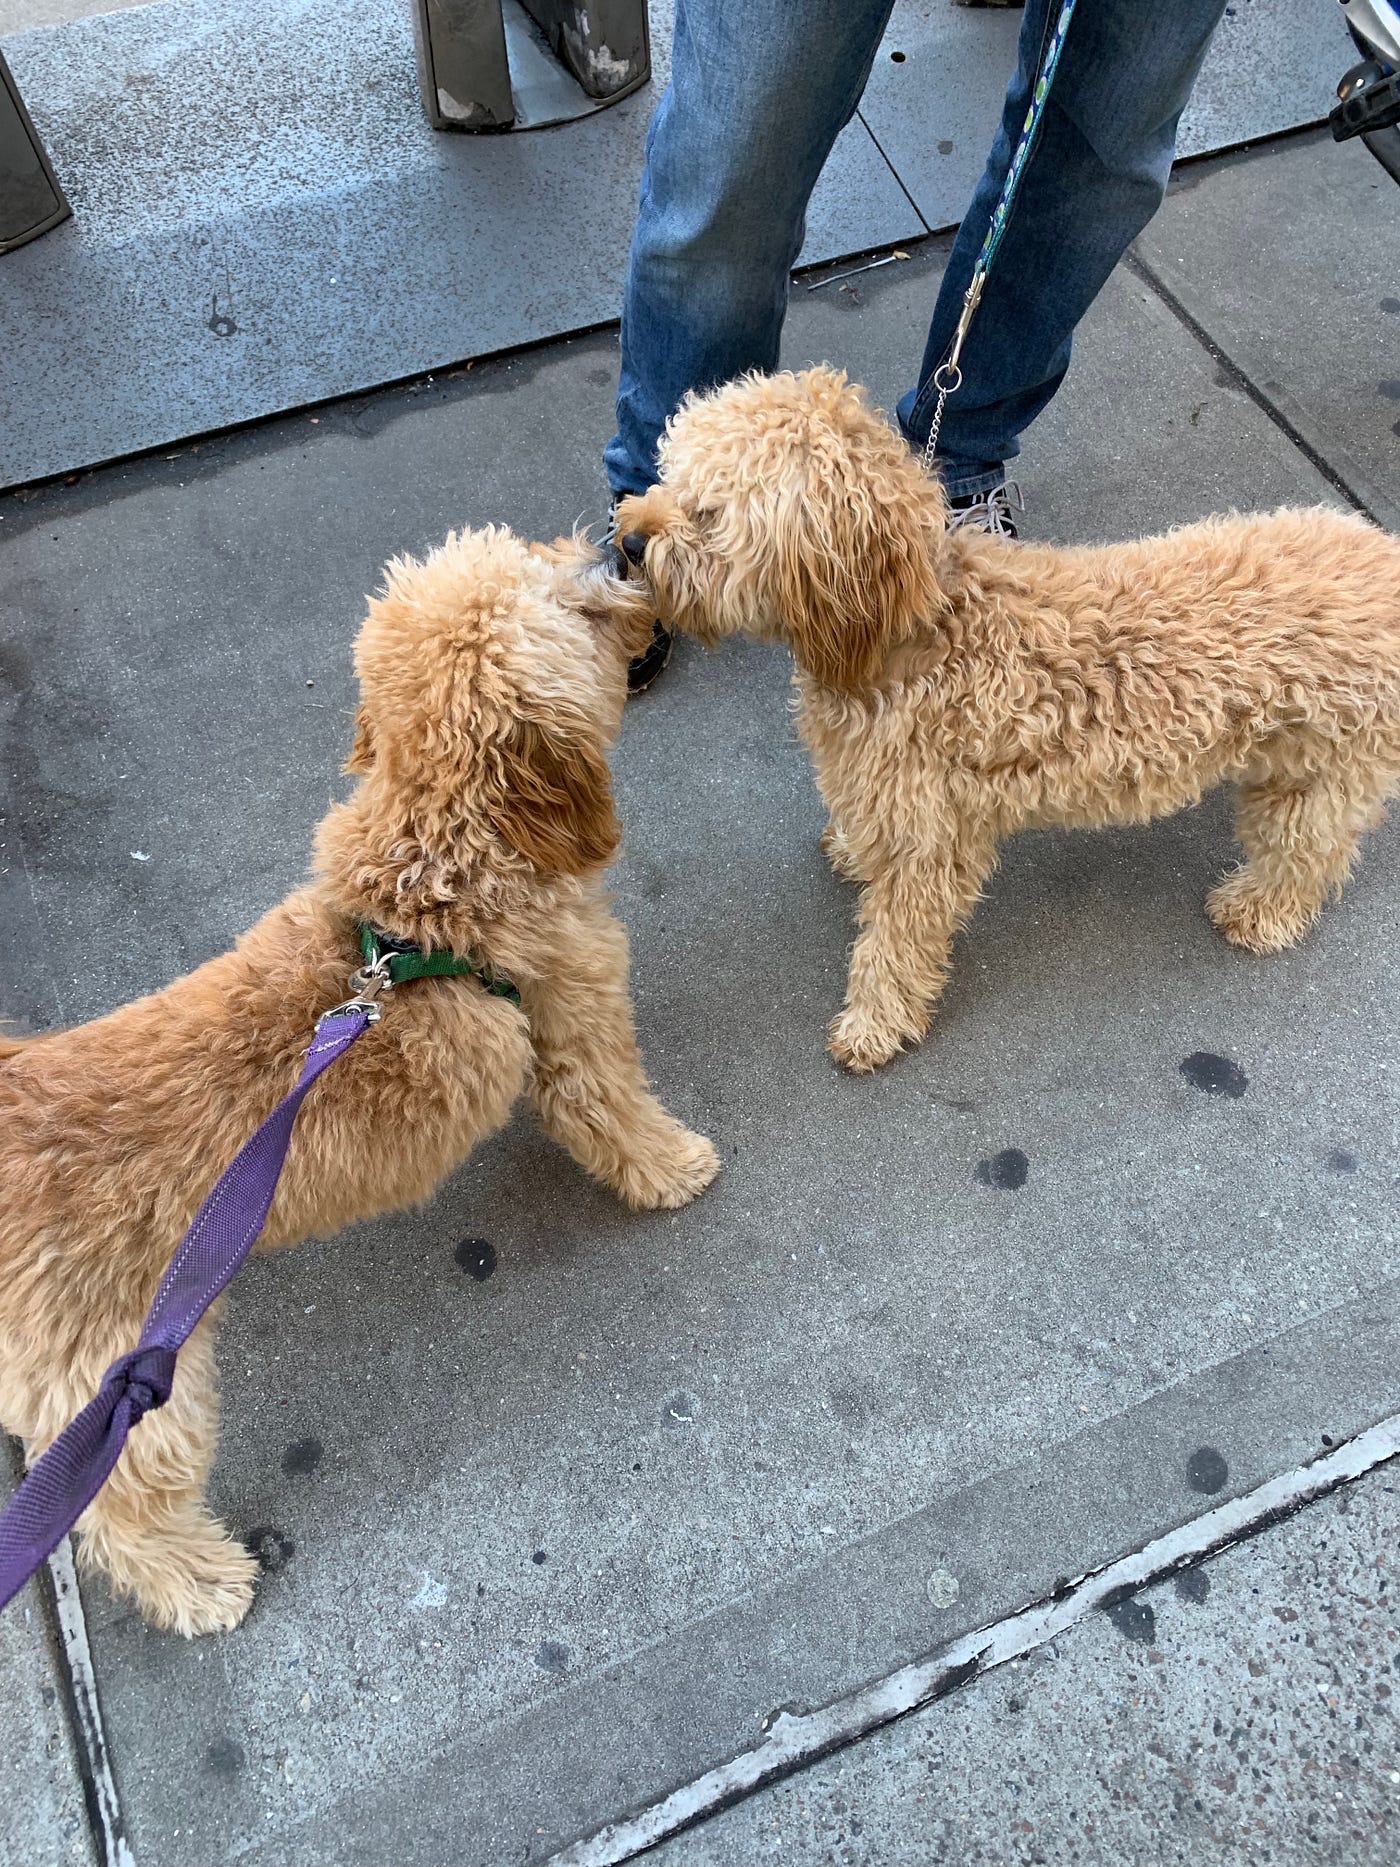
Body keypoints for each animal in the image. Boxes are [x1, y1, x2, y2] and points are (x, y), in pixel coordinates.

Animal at [0, 526, 716, 1635]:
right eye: (573, 605)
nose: (619, 540)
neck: (434, 877)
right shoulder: (578, 1022)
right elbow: (610, 1113)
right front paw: (676, 1164)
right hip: (120, 1386)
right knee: (119, 1511)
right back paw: (201, 1582)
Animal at [623, 365, 1400, 1075]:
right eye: (668, 473)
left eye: (709, 513)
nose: (628, 540)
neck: (911, 628)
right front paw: (847, 845)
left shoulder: (929, 842)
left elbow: (895, 946)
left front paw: (874, 1025)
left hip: (1316, 771)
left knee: (1309, 851)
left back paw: (1259, 911)